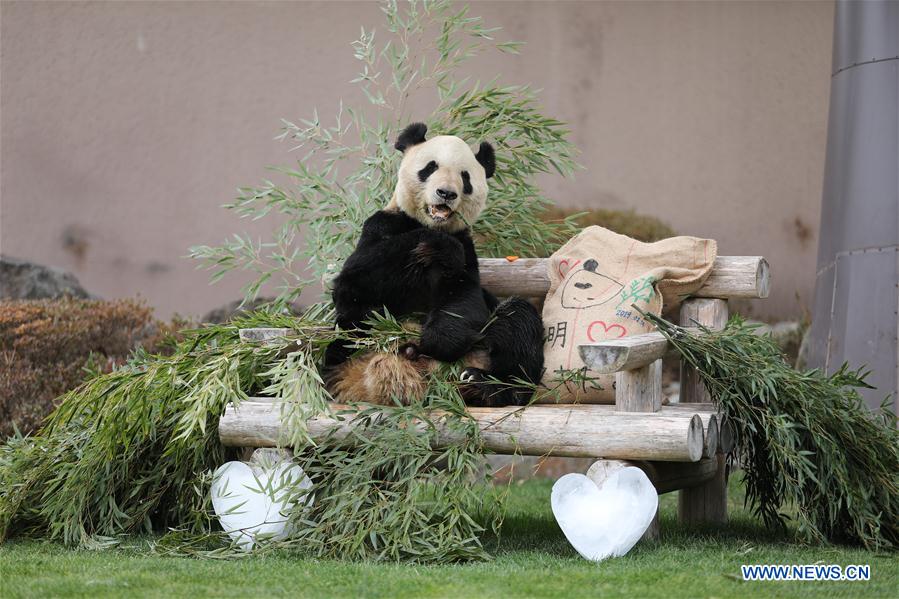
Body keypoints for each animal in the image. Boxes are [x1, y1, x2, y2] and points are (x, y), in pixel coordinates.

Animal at [323, 123, 544, 407]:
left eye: (465, 177)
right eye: (430, 167)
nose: (446, 193)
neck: (431, 223)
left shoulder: (466, 248)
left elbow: (464, 298)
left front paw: (437, 340)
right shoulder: (383, 226)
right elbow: (354, 283)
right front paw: (438, 244)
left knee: (518, 320)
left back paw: (483, 385)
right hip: (349, 357)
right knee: (341, 347)